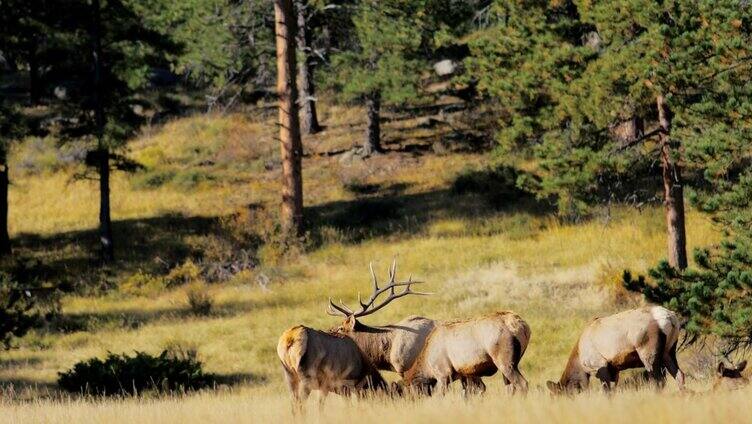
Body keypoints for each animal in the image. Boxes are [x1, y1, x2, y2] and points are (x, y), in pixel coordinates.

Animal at [548, 304, 688, 394]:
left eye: (558, 395)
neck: (579, 356)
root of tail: (671, 318)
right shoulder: (615, 370)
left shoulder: (600, 366)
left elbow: (607, 392)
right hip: (669, 351)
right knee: (679, 375)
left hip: (648, 353)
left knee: (659, 381)